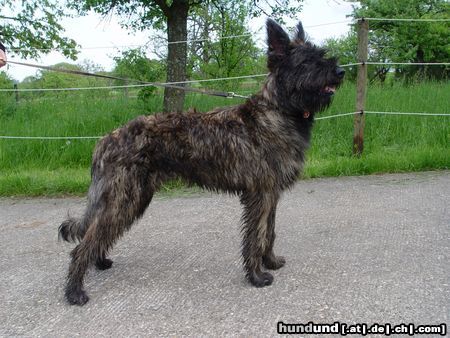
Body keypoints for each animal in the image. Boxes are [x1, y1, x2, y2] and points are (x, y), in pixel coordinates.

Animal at [59, 18, 344, 304]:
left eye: (322, 54)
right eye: (307, 61)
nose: (340, 72)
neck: (278, 111)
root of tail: (106, 140)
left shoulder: (271, 194)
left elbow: (269, 233)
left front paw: (270, 262)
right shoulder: (260, 194)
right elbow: (256, 236)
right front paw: (256, 276)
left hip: (132, 199)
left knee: (95, 234)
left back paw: (98, 262)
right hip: (124, 199)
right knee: (84, 243)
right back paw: (75, 291)